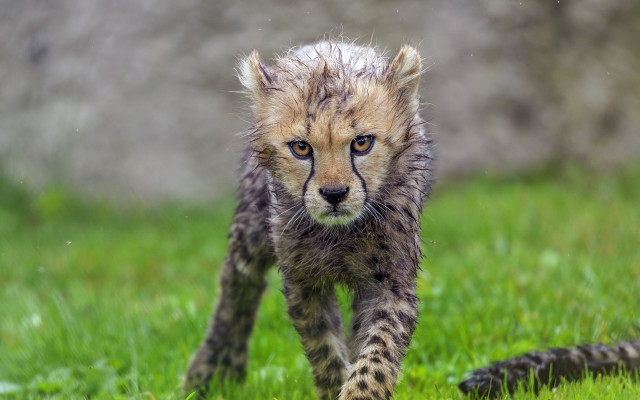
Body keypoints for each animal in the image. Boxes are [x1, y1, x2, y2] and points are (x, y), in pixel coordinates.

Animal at [183, 40, 434, 400]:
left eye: (362, 143)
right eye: (301, 147)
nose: (334, 194)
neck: (339, 234)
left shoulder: (390, 281)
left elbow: (378, 353)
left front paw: (359, 390)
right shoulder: (304, 280)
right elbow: (324, 349)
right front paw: (334, 385)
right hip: (253, 228)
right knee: (238, 284)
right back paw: (213, 369)